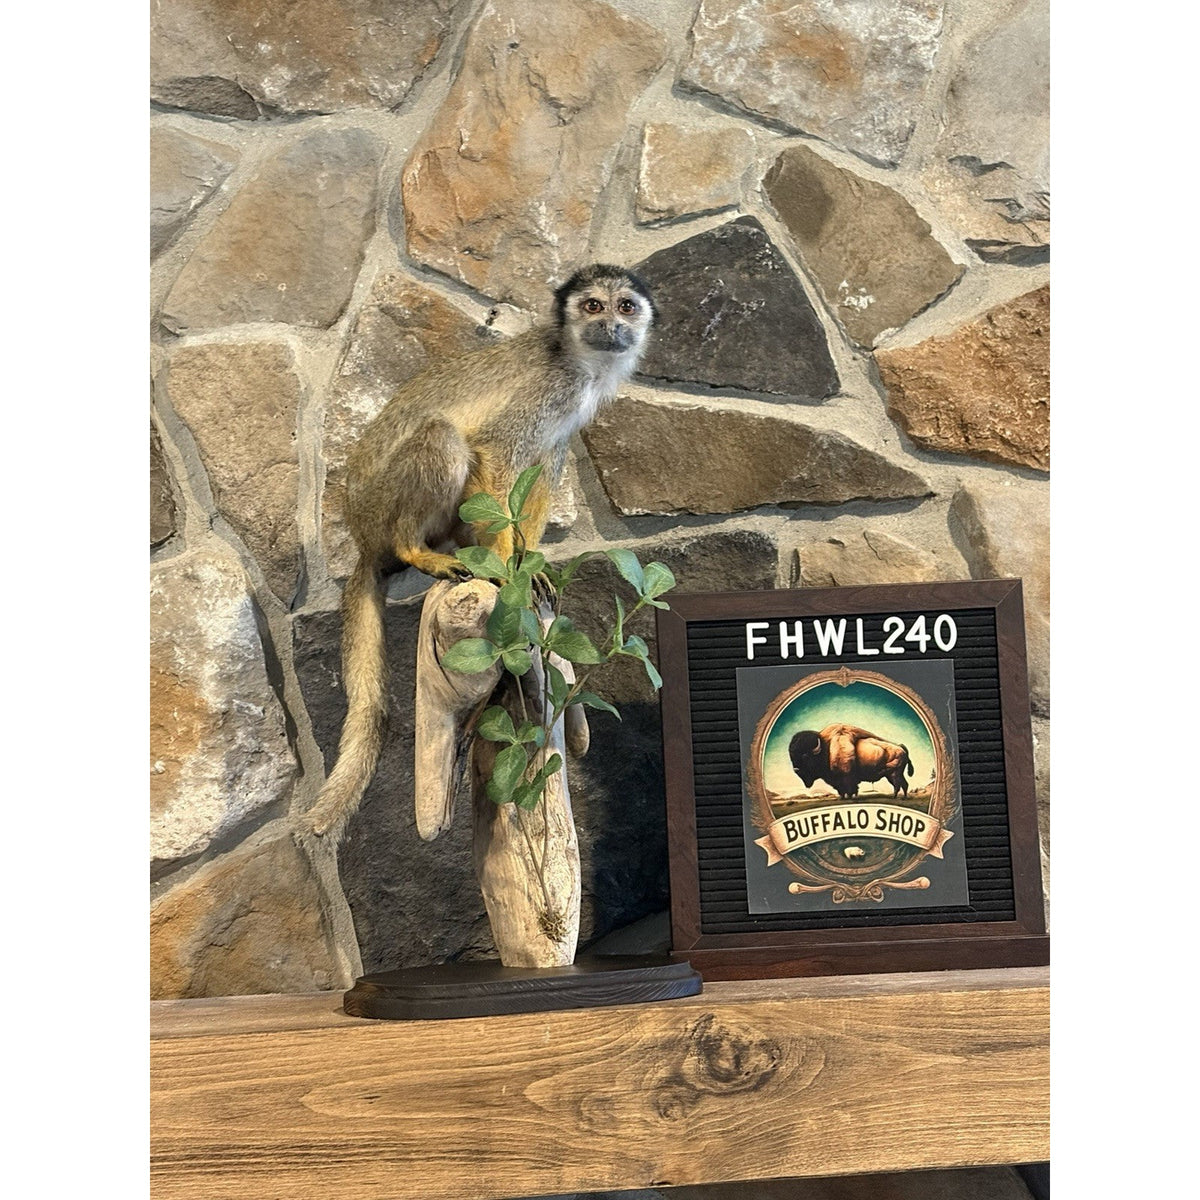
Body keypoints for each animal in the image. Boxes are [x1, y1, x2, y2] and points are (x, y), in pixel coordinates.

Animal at [300, 264, 658, 843]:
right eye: (593, 306)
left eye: (625, 307)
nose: (612, 327)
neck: (580, 361)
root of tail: (361, 538)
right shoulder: (553, 388)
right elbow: (495, 450)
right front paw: (512, 572)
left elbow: (543, 466)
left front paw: (530, 562)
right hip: (378, 508)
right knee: (444, 437)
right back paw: (415, 550)